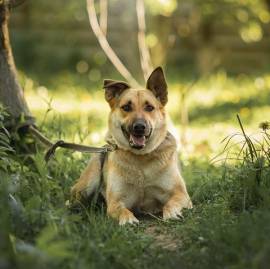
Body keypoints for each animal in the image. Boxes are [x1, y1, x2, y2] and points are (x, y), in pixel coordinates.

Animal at [70, 66, 191, 224]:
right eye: (126, 107)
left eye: (149, 107)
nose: (139, 127)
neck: (141, 160)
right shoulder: (115, 201)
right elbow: (121, 209)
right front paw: (128, 219)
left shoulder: (181, 194)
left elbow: (171, 203)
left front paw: (171, 213)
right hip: (89, 180)